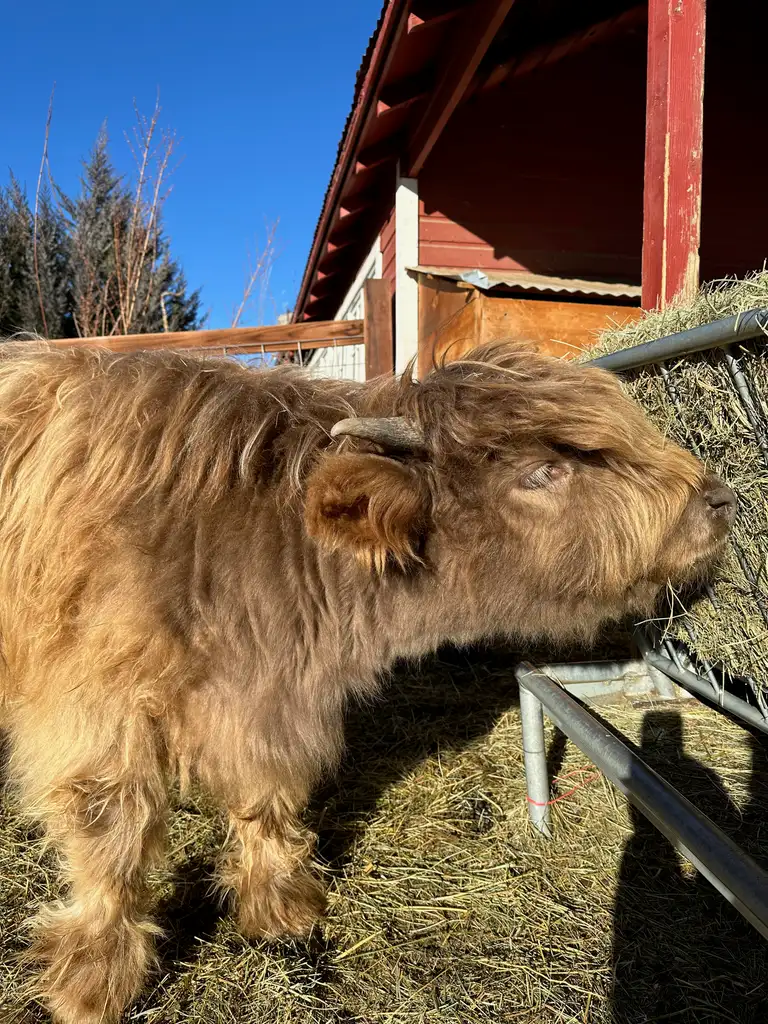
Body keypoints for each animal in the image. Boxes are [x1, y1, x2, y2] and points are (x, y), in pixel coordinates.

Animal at [0, 341, 735, 1023]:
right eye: (540, 472)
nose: (717, 499)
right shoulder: (95, 712)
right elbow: (112, 835)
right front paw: (92, 981)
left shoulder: (265, 704)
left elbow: (265, 795)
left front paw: (282, 906)